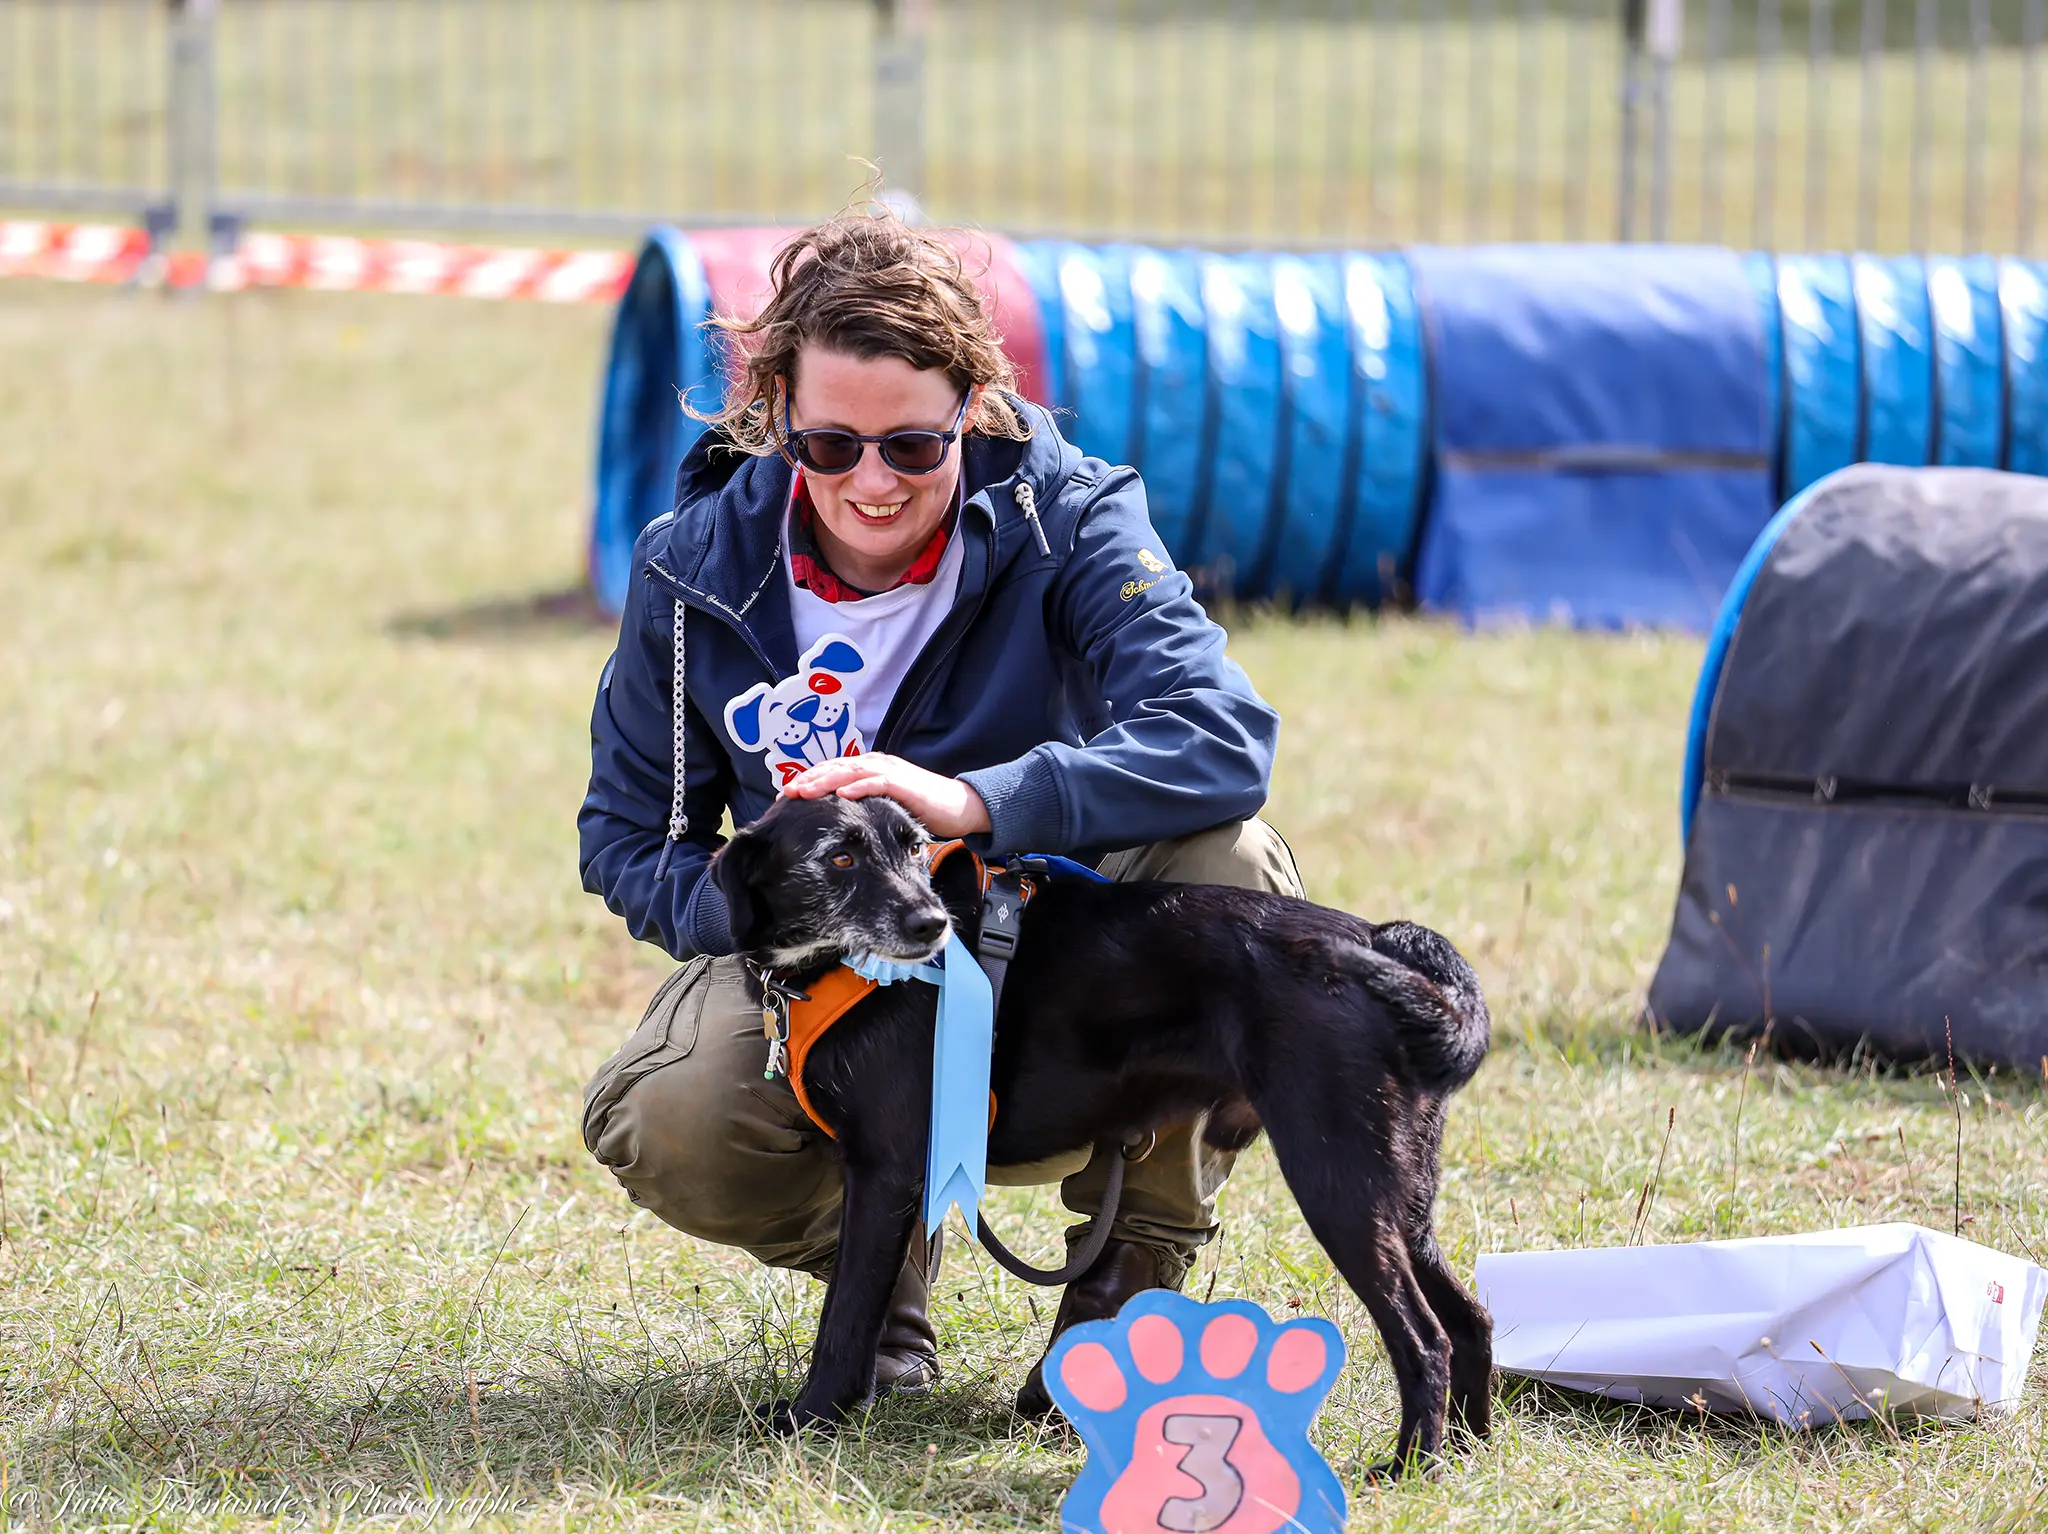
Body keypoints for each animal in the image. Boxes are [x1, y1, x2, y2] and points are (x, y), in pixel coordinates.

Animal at [712, 790, 1499, 1474]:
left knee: (1424, 1336)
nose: (932, 925)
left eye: (914, 847)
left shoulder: (887, 1169)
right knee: (1470, 1320)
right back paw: (1466, 1452)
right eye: (840, 857)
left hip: (1335, 1176)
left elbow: (844, 1315)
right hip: (1399, 1191)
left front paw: (811, 1418)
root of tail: (1377, 942)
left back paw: (1410, 1466)